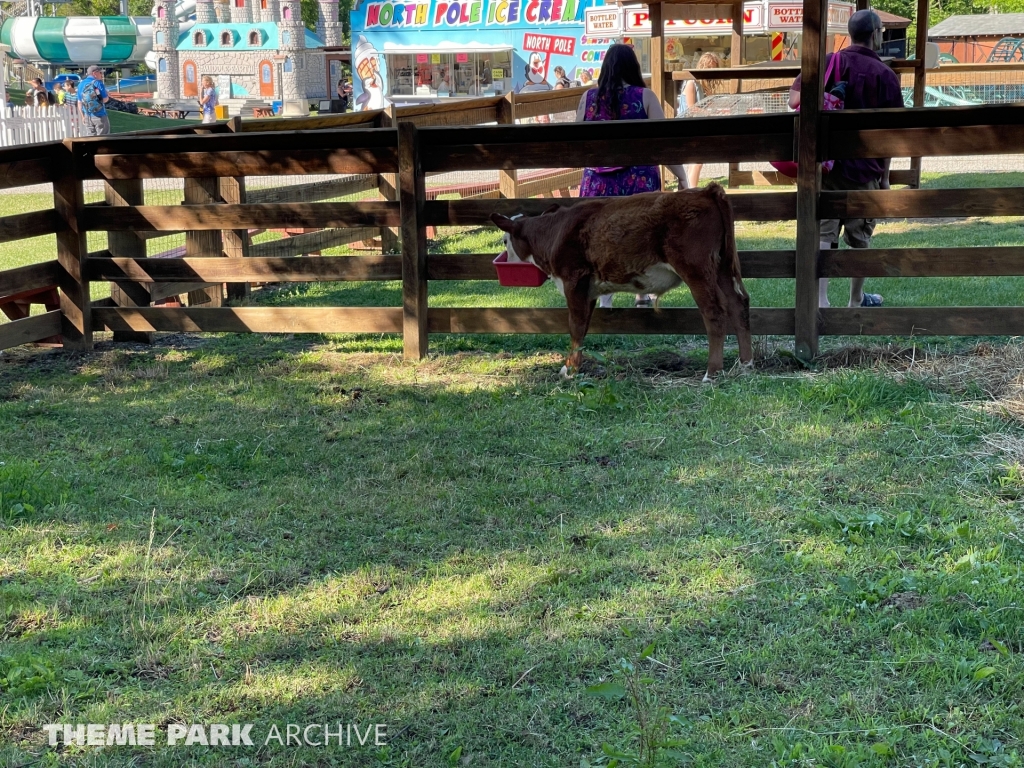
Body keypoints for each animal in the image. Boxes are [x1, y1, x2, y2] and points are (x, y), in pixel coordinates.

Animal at [491, 183, 757, 382]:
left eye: (504, 241)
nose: (504, 261)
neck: (554, 232)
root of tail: (705, 191)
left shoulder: (574, 280)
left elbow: (575, 326)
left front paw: (569, 370)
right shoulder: (589, 289)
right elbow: (583, 327)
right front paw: (575, 365)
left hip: (696, 268)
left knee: (714, 311)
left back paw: (712, 373)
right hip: (722, 267)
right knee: (738, 303)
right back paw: (746, 363)